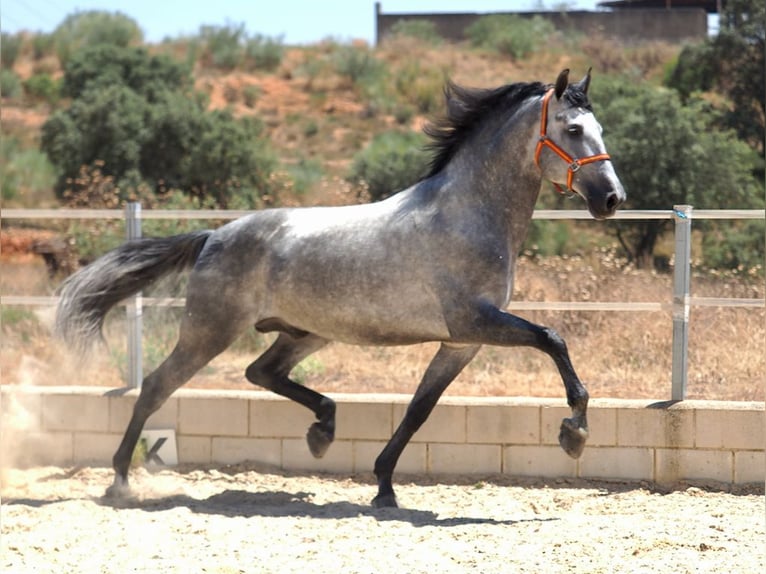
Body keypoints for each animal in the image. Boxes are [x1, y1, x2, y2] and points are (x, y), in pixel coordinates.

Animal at [57, 68, 628, 508]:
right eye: (573, 129)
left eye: (599, 128)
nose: (613, 199)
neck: (468, 214)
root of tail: (213, 236)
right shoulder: (476, 321)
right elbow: (553, 339)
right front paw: (574, 434)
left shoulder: (461, 342)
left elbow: (419, 410)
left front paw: (384, 487)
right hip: (209, 331)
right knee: (157, 386)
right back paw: (120, 480)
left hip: (305, 333)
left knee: (260, 372)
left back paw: (322, 430)